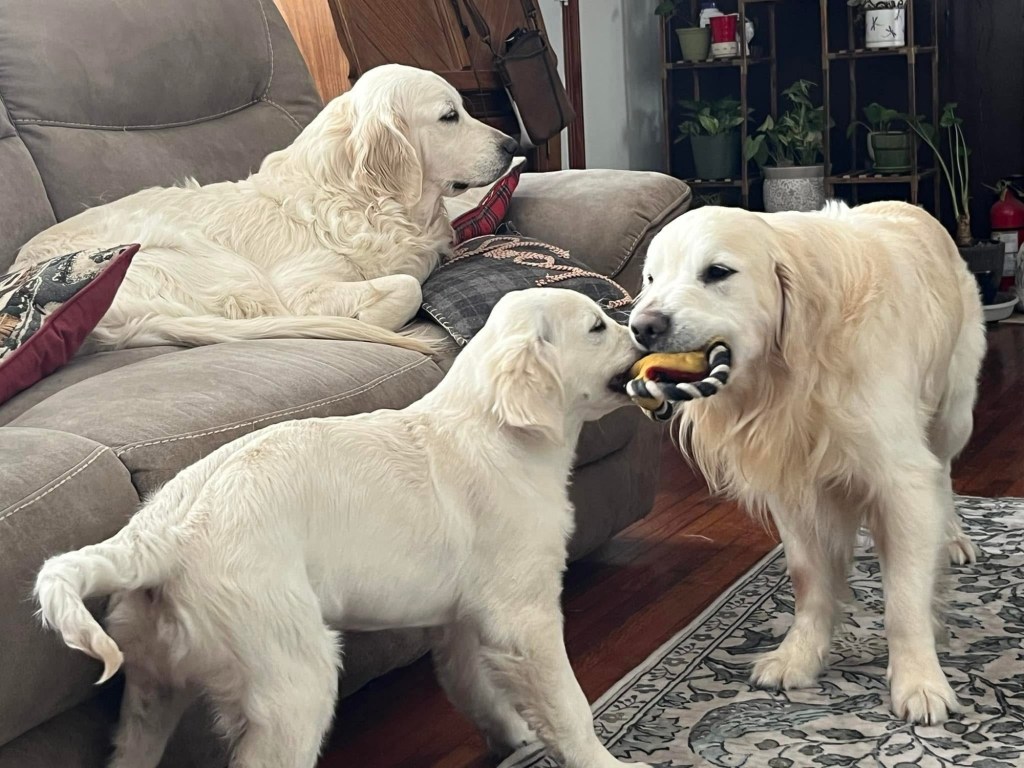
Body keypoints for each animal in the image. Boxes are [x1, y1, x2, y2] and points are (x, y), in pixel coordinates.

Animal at [15, 64, 517, 353]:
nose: (513, 145)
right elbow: (407, 286)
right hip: (220, 267)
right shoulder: (300, 289)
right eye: (449, 116)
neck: (363, 199)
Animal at [35, 288, 650, 768]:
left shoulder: (458, 620)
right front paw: (607, 761)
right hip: (293, 682)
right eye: (598, 326)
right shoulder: (523, 618)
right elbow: (568, 707)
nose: (647, 332)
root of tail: (160, 534)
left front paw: (513, 739)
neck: (496, 429)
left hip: (150, 692)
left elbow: (474, 688)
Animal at [628, 201, 985, 724]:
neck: (791, 372)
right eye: (651, 278)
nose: (642, 326)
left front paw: (920, 681)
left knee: (945, 472)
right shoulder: (792, 486)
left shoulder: (901, 480)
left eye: (717, 272)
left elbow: (904, 600)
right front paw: (799, 656)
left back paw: (953, 535)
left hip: (951, 412)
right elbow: (809, 578)